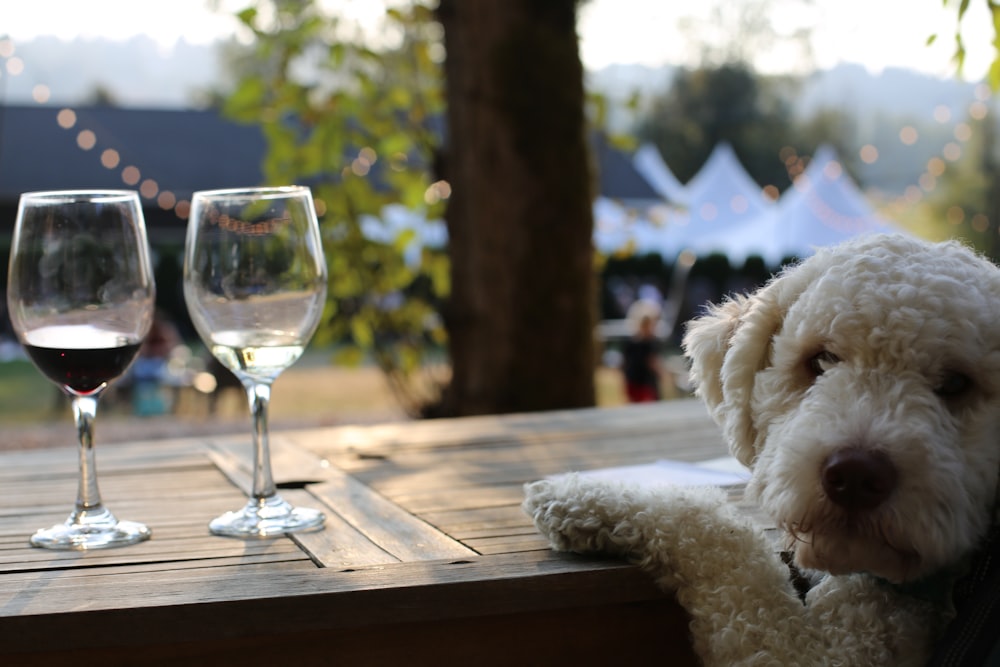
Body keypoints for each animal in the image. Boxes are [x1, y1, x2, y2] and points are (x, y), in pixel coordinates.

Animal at [520, 234, 1000, 664]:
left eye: (956, 383)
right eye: (821, 360)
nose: (855, 476)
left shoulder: (805, 648)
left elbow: (721, 537)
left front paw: (580, 497)